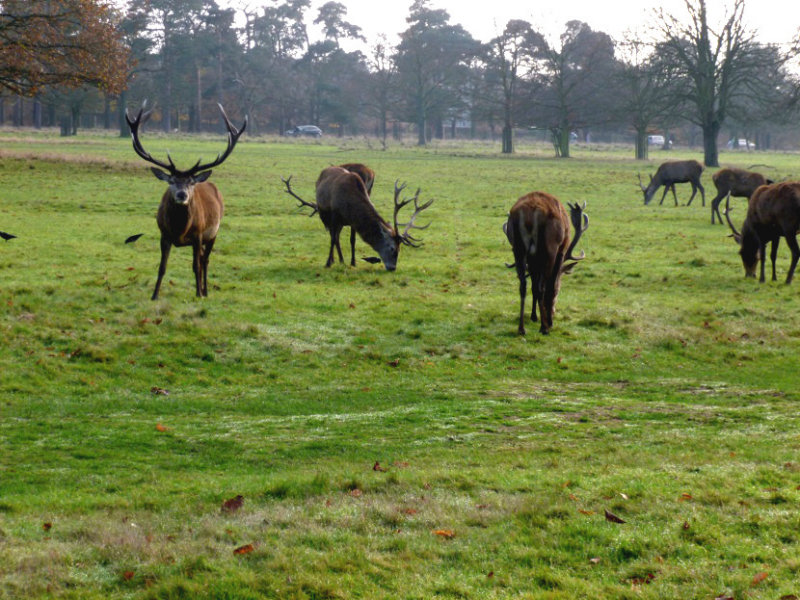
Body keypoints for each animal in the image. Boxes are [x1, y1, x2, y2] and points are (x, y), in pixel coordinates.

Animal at [125, 103, 247, 302]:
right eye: (172, 181)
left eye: (190, 182)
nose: (182, 195)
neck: (179, 229)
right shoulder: (164, 235)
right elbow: (162, 267)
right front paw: (154, 295)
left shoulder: (198, 235)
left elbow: (195, 266)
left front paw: (198, 294)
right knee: (203, 258)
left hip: (213, 233)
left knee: (205, 260)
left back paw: (205, 291)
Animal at [504, 191, 592, 336]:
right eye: (559, 290)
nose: (554, 311)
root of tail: (531, 212)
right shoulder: (561, 251)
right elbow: (549, 286)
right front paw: (548, 321)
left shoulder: (532, 260)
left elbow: (533, 286)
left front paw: (534, 316)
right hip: (550, 247)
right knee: (542, 287)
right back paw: (544, 327)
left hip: (518, 248)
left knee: (523, 285)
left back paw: (521, 328)